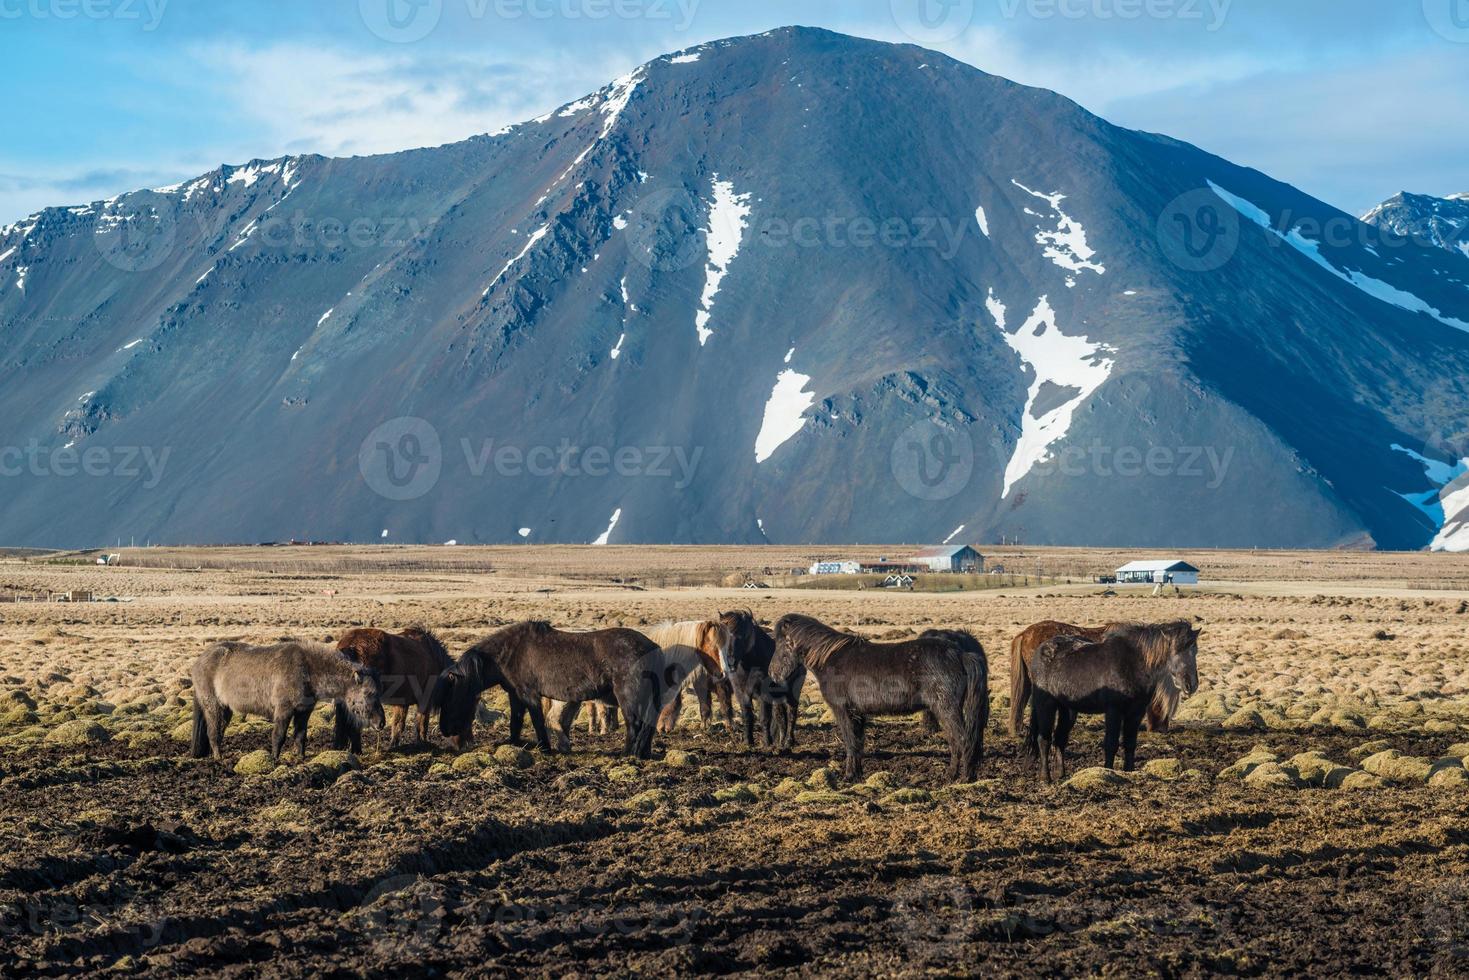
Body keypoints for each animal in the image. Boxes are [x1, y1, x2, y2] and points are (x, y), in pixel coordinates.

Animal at [434, 620, 666, 758]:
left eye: (450, 697)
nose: (445, 730)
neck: (509, 652)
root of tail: (653, 647)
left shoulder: (529, 695)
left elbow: (537, 721)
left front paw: (544, 748)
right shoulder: (515, 695)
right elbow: (516, 721)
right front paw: (513, 744)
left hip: (627, 696)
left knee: (634, 725)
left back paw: (627, 754)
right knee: (646, 726)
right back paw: (643, 753)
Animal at [769, 614, 987, 781]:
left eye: (780, 644)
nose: (773, 673)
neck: (830, 658)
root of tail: (961, 655)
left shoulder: (842, 710)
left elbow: (850, 741)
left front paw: (848, 776)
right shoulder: (857, 713)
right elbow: (858, 743)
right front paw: (857, 774)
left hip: (945, 709)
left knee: (962, 740)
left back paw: (961, 778)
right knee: (958, 741)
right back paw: (955, 776)